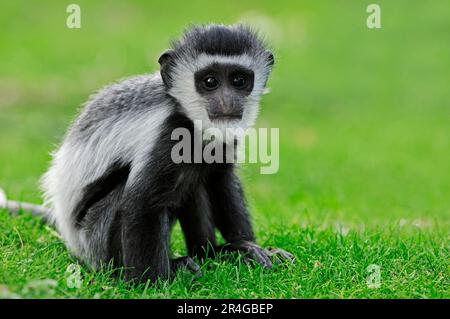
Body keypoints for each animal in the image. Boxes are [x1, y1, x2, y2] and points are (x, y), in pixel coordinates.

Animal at [1, 24, 294, 282]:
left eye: (239, 80)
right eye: (210, 81)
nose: (227, 102)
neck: (192, 123)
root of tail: (71, 236)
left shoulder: (225, 141)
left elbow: (221, 182)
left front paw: (248, 247)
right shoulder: (166, 138)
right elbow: (142, 203)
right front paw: (153, 282)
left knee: (194, 181)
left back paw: (214, 254)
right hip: (96, 239)